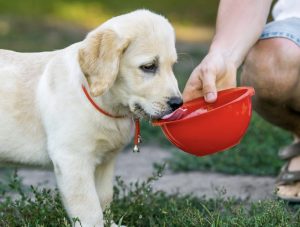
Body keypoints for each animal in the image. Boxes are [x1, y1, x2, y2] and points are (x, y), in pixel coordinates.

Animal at [0, 9, 182, 226]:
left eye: (172, 66)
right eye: (149, 66)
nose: (178, 103)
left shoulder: (105, 161)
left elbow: (104, 198)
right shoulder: (72, 160)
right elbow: (89, 209)